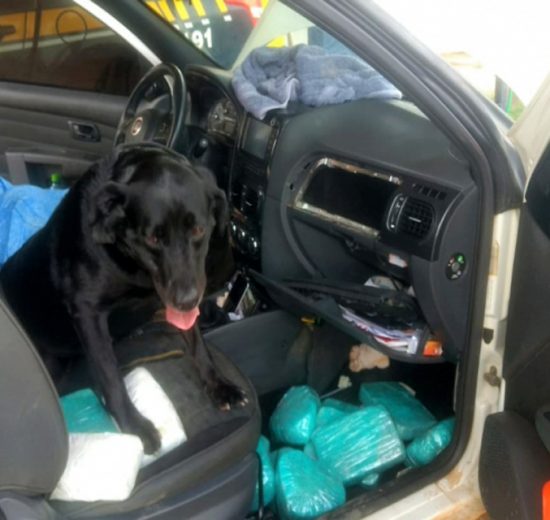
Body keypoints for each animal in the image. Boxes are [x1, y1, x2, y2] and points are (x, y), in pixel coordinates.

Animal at [0, 144, 246, 453]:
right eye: (153, 239)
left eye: (198, 229)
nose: (187, 301)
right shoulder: (87, 311)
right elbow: (111, 377)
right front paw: (134, 427)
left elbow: (198, 344)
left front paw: (218, 385)